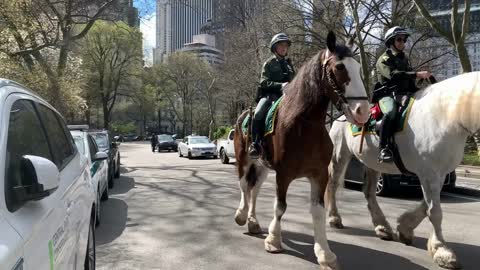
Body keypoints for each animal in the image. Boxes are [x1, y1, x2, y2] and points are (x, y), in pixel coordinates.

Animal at [234, 31, 370, 268]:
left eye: (358, 68)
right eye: (339, 67)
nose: (362, 111)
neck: (304, 124)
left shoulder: (319, 174)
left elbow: (318, 211)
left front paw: (325, 253)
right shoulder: (283, 174)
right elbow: (280, 207)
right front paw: (274, 240)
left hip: (262, 167)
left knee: (255, 189)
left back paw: (253, 221)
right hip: (244, 160)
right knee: (244, 186)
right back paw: (242, 215)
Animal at [326, 70, 480, 268]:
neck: (445, 115)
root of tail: (340, 116)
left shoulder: (437, 174)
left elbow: (426, 205)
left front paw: (405, 228)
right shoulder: (429, 174)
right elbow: (435, 212)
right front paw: (442, 251)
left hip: (372, 163)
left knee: (369, 192)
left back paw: (382, 227)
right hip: (340, 154)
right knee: (333, 185)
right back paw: (334, 218)